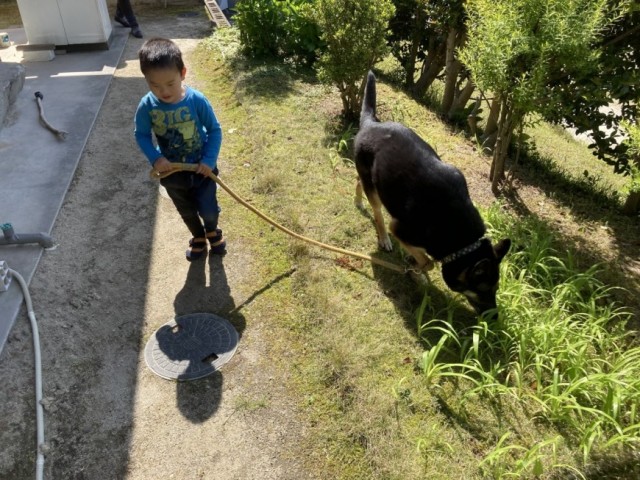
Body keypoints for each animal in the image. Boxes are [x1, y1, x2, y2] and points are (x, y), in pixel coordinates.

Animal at [352, 69, 512, 314]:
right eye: (482, 290)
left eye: (496, 289)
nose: (494, 318)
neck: (461, 237)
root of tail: (371, 124)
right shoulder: (399, 228)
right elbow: (427, 261)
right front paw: (418, 271)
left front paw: (415, 269)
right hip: (377, 193)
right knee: (378, 214)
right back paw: (384, 238)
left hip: (374, 181)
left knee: (360, 182)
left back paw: (359, 201)